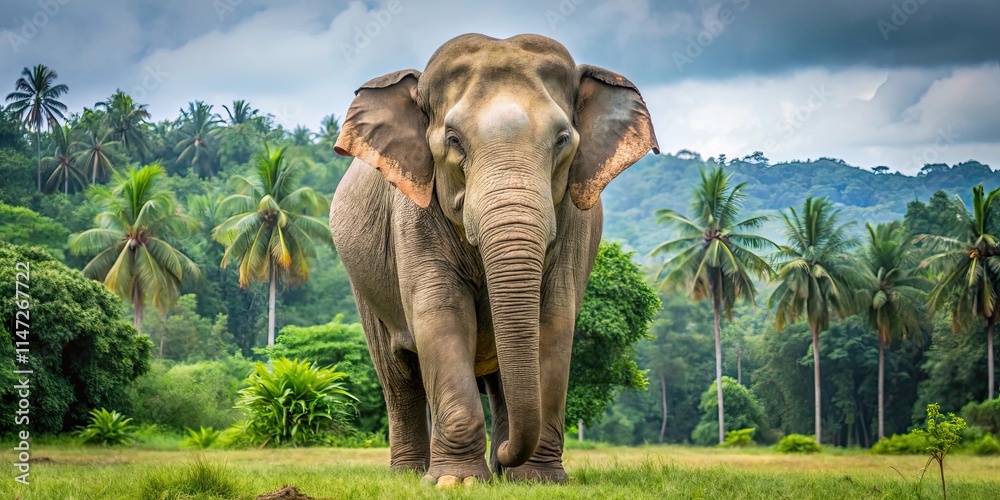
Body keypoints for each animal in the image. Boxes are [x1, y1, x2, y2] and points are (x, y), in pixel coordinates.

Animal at [329, 33, 658, 485]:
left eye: (562, 139)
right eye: (453, 139)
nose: (502, 455)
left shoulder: (575, 222)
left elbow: (554, 319)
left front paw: (537, 480)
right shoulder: (412, 215)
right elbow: (441, 312)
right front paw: (456, 481)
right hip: (364, 285)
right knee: (398, 374)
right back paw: (409, 474)